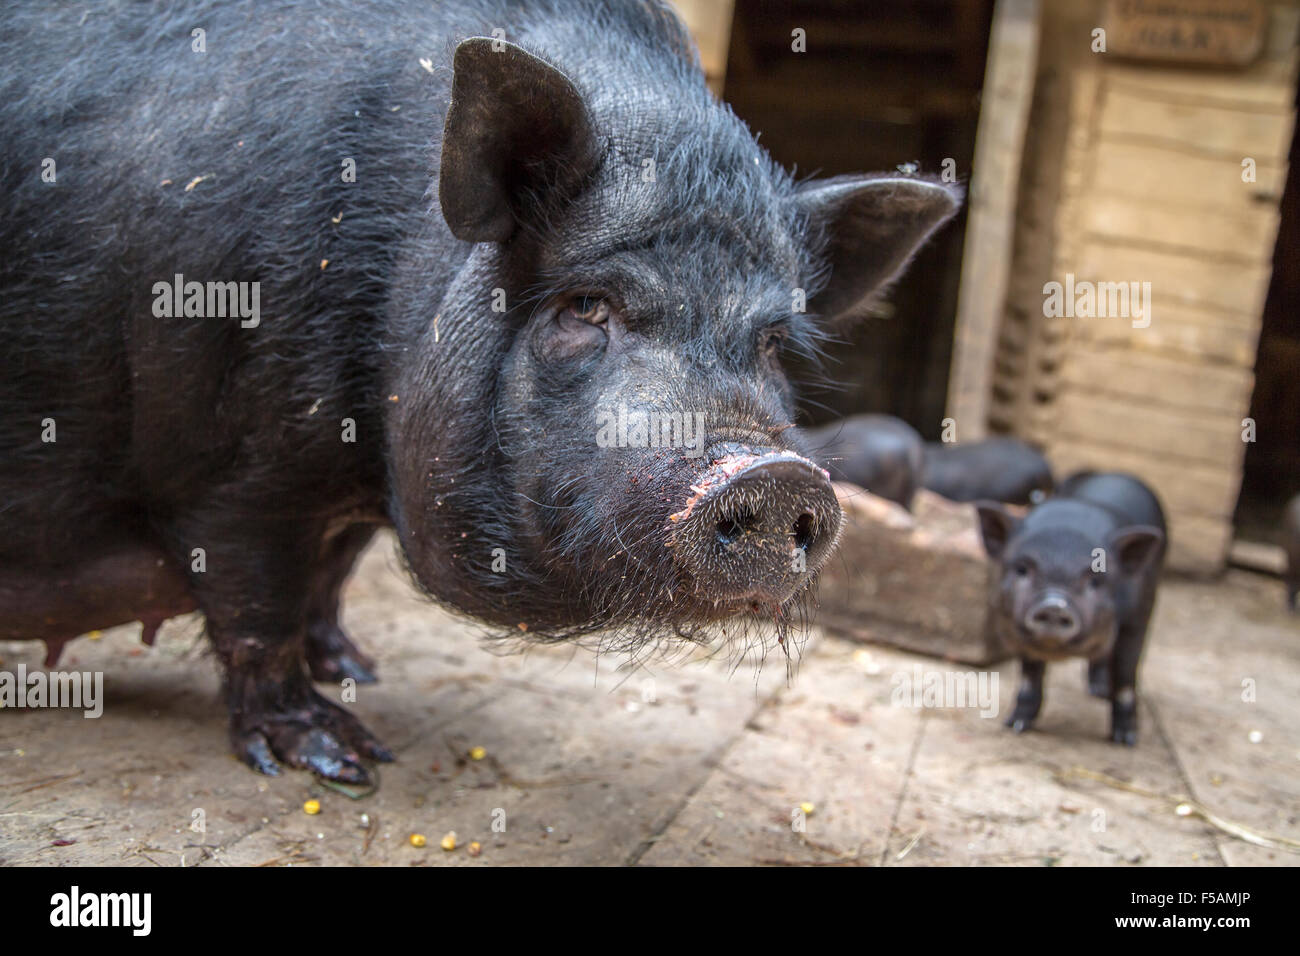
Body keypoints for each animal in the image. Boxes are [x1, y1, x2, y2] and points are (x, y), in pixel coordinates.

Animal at [0, 3, 956, 780]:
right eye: (586, 305)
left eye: (771, 342)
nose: (775, 474)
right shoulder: (234, 471)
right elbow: (257, 606)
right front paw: (345, 758)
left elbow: (331, 573)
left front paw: (358, 668)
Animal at [977, 470, 1170, 749]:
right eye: (1022, 569)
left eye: (1095, 581)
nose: (1054, 605)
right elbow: (1030, 674)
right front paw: (1014, 726)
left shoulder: (1138, 618)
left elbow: (1126, 675)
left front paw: (1125, 741)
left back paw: (1100, 693)